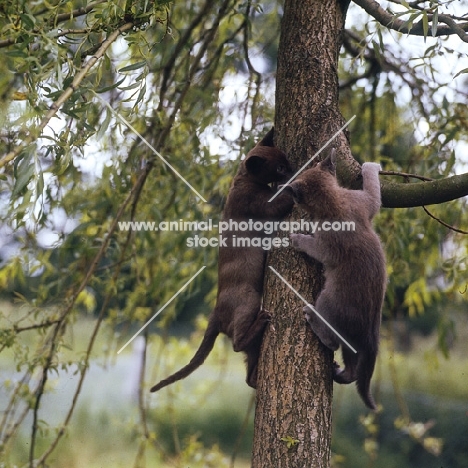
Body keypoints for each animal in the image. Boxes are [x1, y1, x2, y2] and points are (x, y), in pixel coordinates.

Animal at [152, 127, 294, 392]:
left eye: (286, 162)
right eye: (280, 168)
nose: (292, 170)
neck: (243, 179)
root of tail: (215, 313)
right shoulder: (264, 206)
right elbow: (283, 197)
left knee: (248, 374)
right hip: (250, 299)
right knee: (238, 344)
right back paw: (262, 319)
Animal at [288, 151, 384, 410]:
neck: (335, 201)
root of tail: (370, 332)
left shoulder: (326, 247)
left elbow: (313, 246)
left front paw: (296, 237)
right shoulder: (364, 202)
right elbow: (374, 194)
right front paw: (372, 166)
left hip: (328, 301)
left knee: (331, 342)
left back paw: (312, 315)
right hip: (353, 345)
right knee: (352, 370)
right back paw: (339, 372)